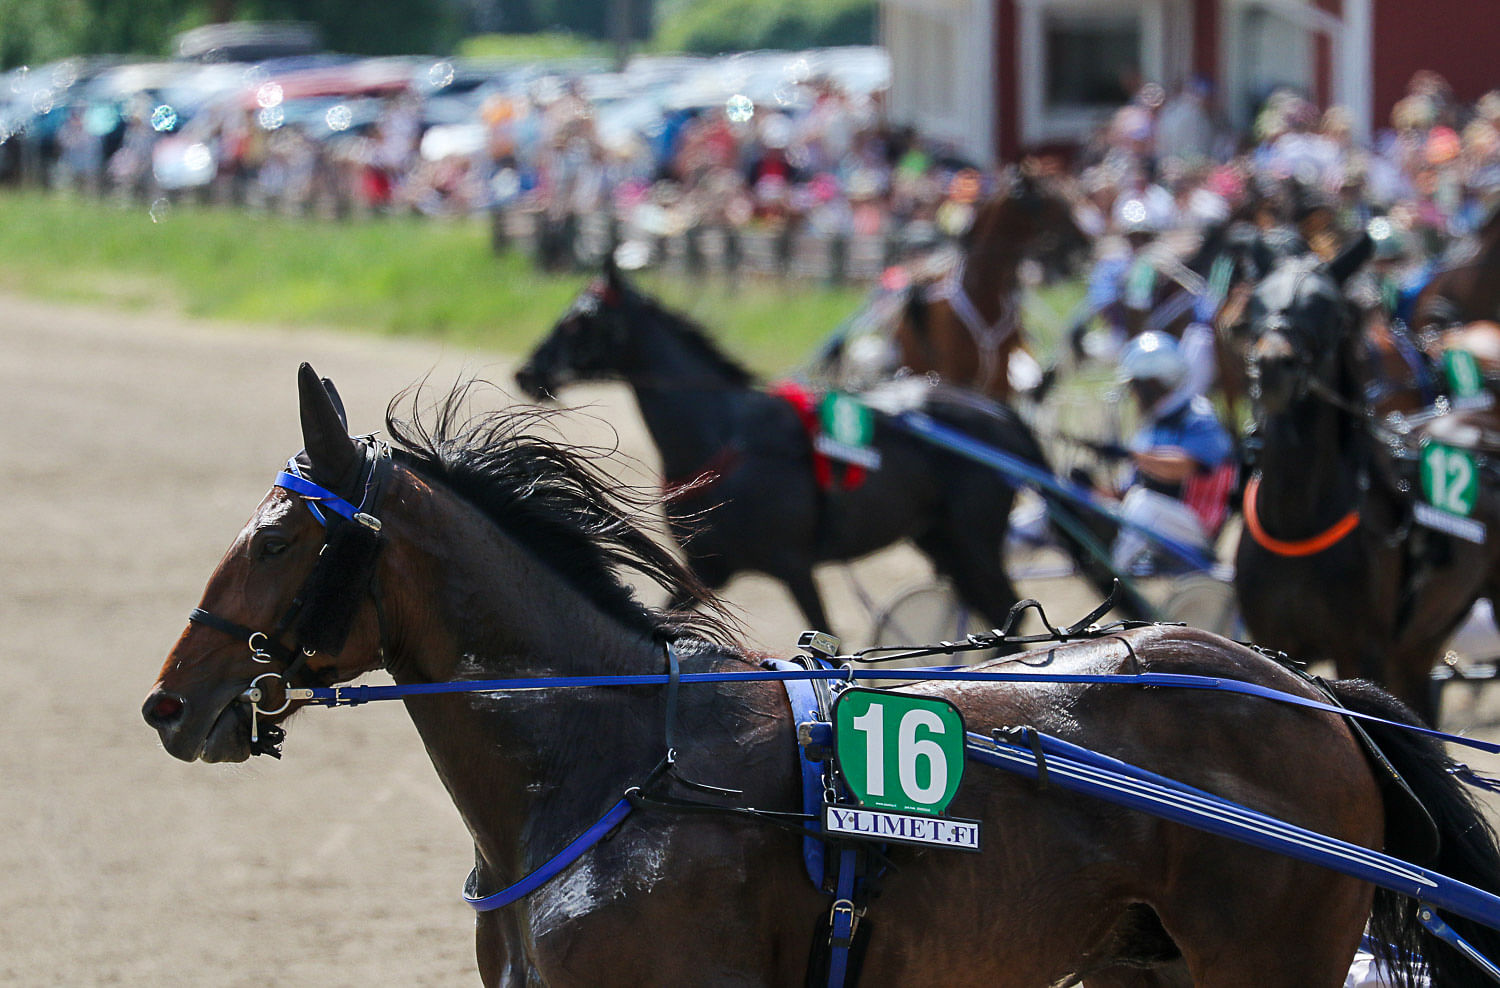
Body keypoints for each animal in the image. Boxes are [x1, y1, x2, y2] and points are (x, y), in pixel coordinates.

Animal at [516, 260, 1146, 632]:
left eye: (578, 322)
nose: (527, 371)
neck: (723, 440)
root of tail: (998, 413)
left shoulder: (794, 566)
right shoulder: (711, 571)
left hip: (974, 539)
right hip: (942, 540)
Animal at [1236, 235, 1500, 722]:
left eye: (1330, 309)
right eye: (1256, 302)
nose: (1274, 366)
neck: (1298, 520)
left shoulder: (1362, 651)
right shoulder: (1273, 640)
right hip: (1421, 641)